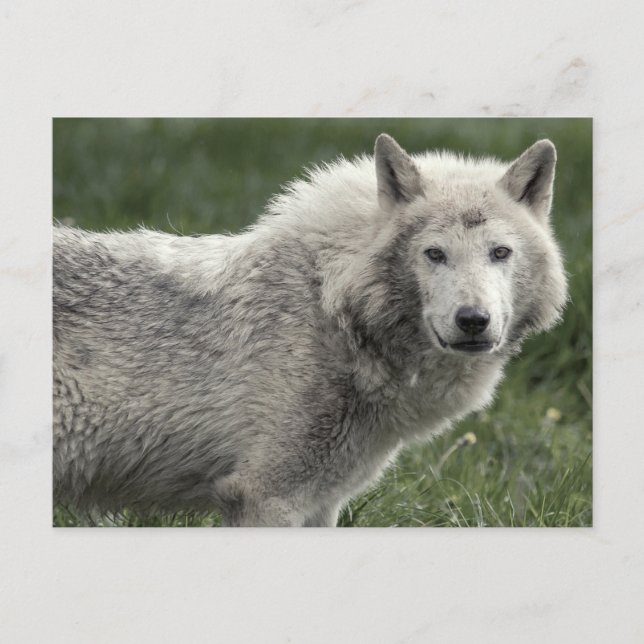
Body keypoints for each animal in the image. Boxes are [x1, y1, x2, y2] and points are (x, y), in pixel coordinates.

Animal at [53, 133, 567, 526]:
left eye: (499, 253)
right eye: (435, 254)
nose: (473, 320)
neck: (333, 310)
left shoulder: (321, 503)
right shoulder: (265, 499)